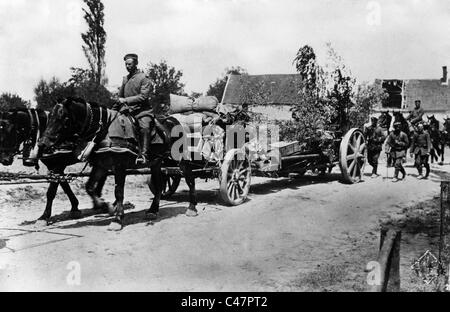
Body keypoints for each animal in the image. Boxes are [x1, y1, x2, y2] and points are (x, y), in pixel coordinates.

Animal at [38, 98, 206, 230]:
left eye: (63, 118)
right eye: (50, 116)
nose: (42, 144)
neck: (104, 129)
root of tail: (175, 121)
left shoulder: (119, 166)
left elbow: (118, 192)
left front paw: (117, 219)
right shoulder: (101, 166)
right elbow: (90, 187)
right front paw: (107, 207)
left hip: (181, 159)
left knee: (190, 179)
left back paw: (192, 207)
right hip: (156, 163)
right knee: (159, 185)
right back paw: (153, 210)